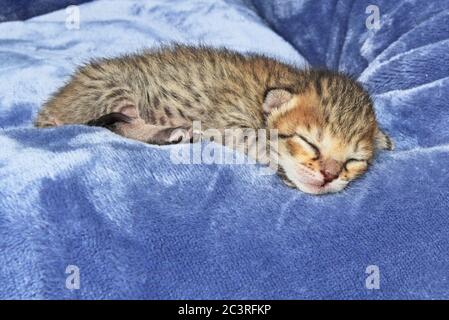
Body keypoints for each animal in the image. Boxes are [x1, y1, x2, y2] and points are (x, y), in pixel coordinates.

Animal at [35, 44, 392, 195]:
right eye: (309, 143)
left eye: (353, 161)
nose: (329, 176)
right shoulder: (225, 120)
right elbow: (258, 142)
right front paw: (281, 164)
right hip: (113, 85)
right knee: (117, 122)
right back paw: (170, 132)